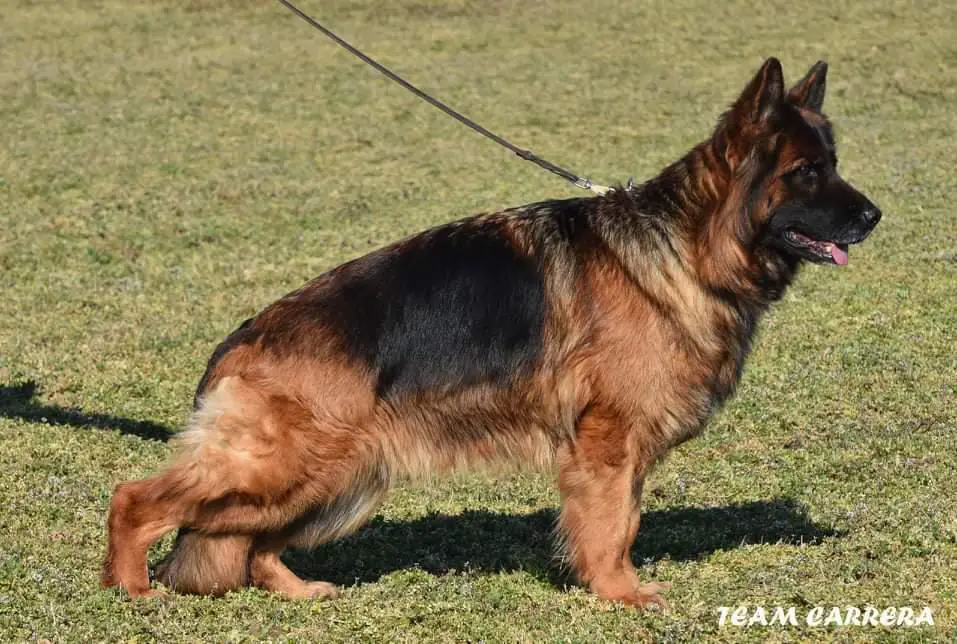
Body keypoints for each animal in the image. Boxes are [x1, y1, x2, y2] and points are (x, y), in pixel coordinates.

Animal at [101, 57, 881, 608]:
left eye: (834, 165)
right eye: (807, 172)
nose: (875, 216)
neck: (684, 246)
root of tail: (240, 340)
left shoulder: (623, 450)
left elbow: (625, 519)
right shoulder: (606, 443)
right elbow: (610, 526)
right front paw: (618, 593)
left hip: (338, 476)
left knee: (253, 545)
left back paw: (296, 591)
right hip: (288, 468)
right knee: (136, 498)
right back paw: (130, 588)